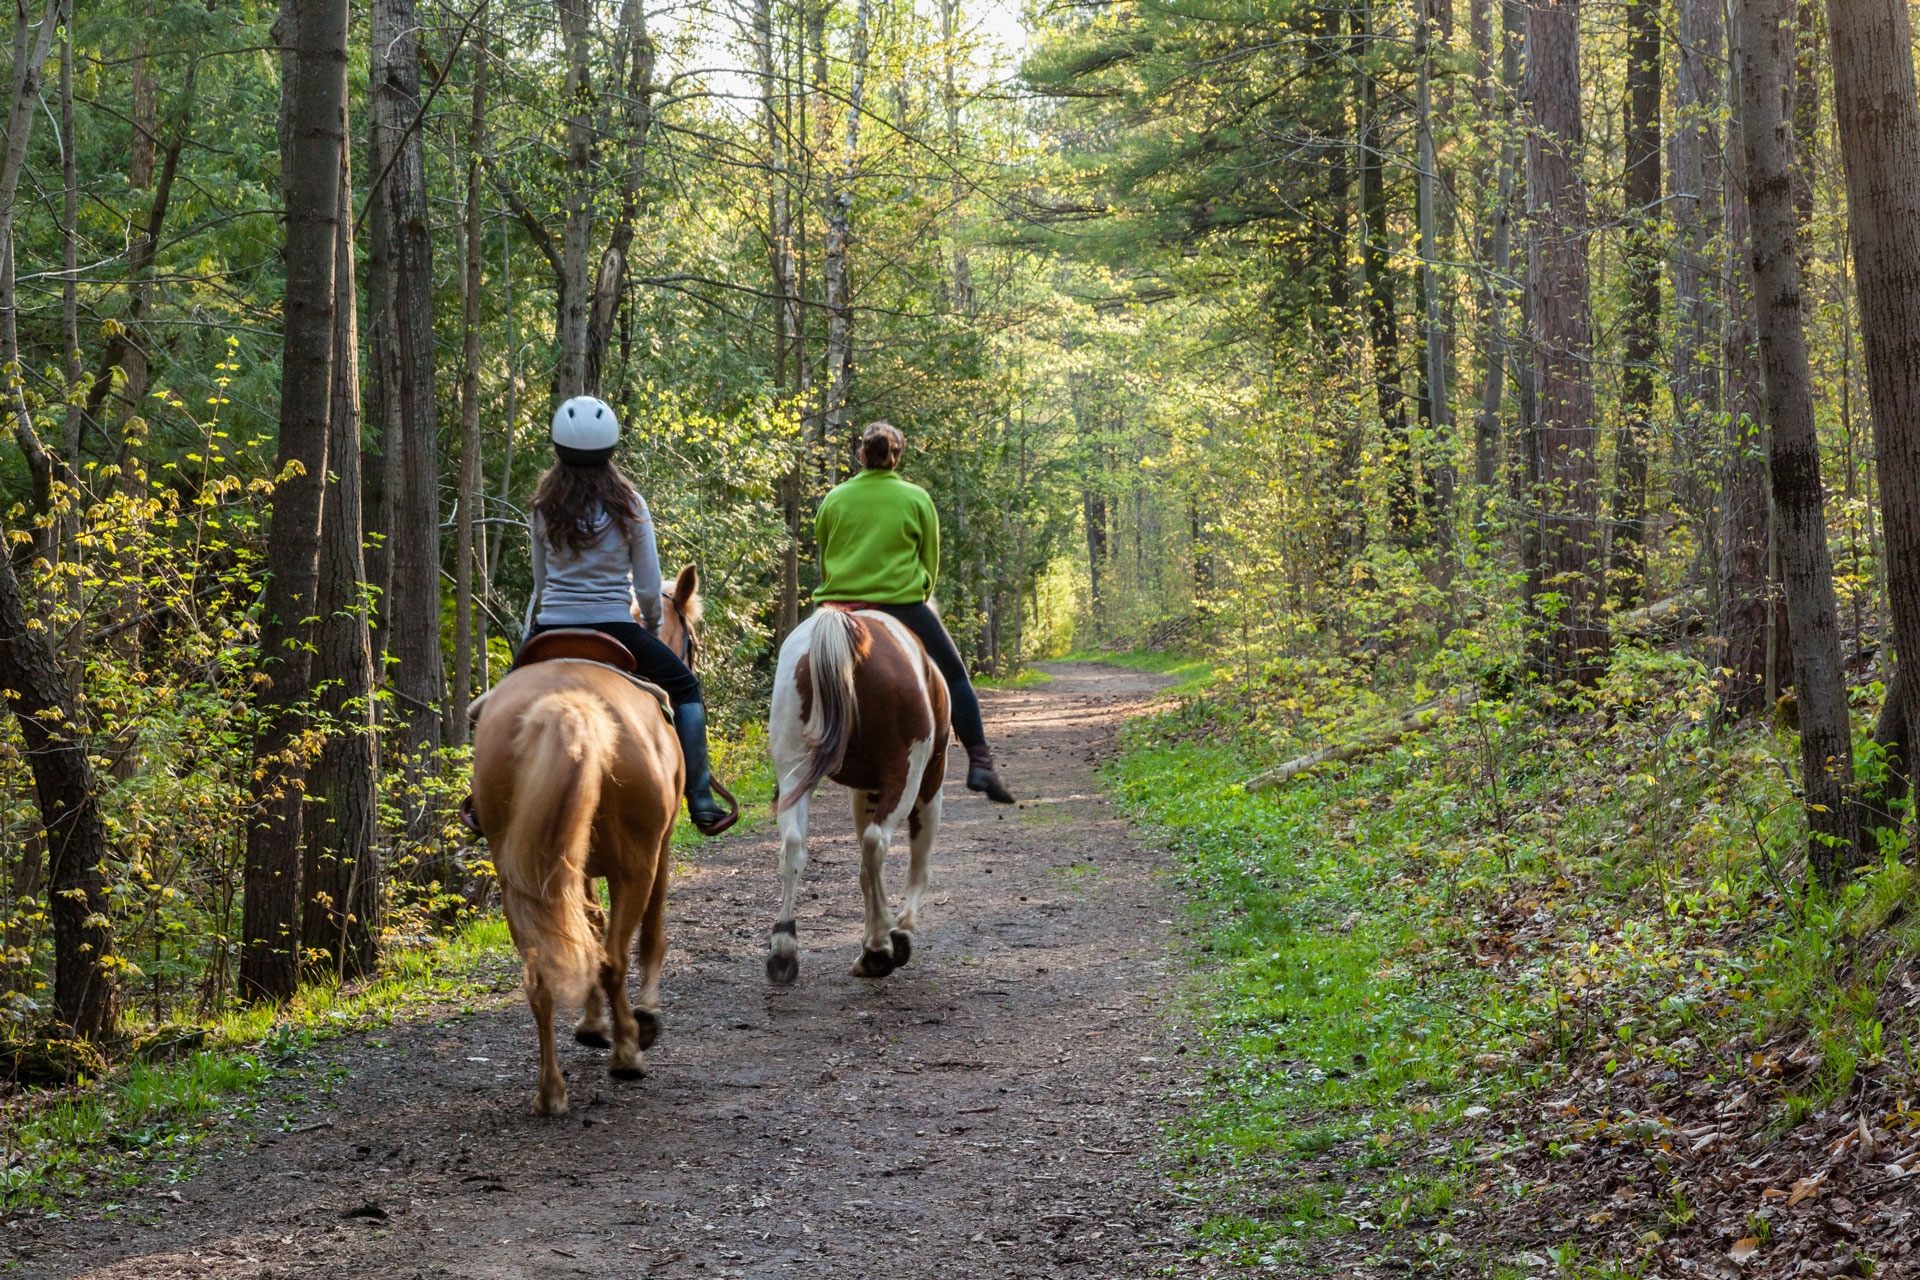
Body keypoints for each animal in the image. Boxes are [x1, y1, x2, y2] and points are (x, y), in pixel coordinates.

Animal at [470, 564, 710, 1113]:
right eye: (690, 635)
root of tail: (567, 704)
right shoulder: (660, 850)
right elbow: (650, 932)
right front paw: (642, 1018)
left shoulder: (570, 864)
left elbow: (587, 926)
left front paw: (591, 1024)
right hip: (636, 863)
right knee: (615, 956)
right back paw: (627, 1053)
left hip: (520, 874)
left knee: (543, 970)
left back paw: (551, 1091)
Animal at [760, 606, 948, 990]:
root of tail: (845, 626)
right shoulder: (930, 783)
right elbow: (917, 863)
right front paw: (900, 932)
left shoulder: (864, 791)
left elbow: (863, 870)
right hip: (906, 774)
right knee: (878, 842)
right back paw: (879, 947)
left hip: (792, 770)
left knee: (794, 846)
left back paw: (784, 949)